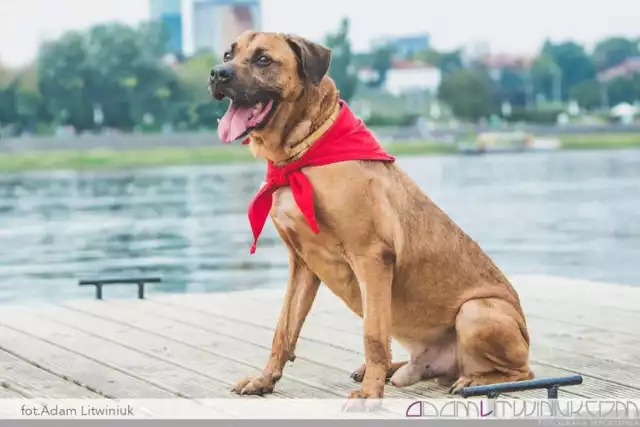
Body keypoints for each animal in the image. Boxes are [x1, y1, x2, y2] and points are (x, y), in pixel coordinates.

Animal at [208, 30, 532, 404]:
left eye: (263, 59)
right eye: (228, 54)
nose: (217, 73)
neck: (302, 153)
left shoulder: (371, 258)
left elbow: (374, 335)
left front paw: (369, 393)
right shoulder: (302, 264)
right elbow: (284, 330)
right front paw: (264, 380)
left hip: (477, 311)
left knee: (521, 372)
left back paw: (475, 381)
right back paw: (398, 369)